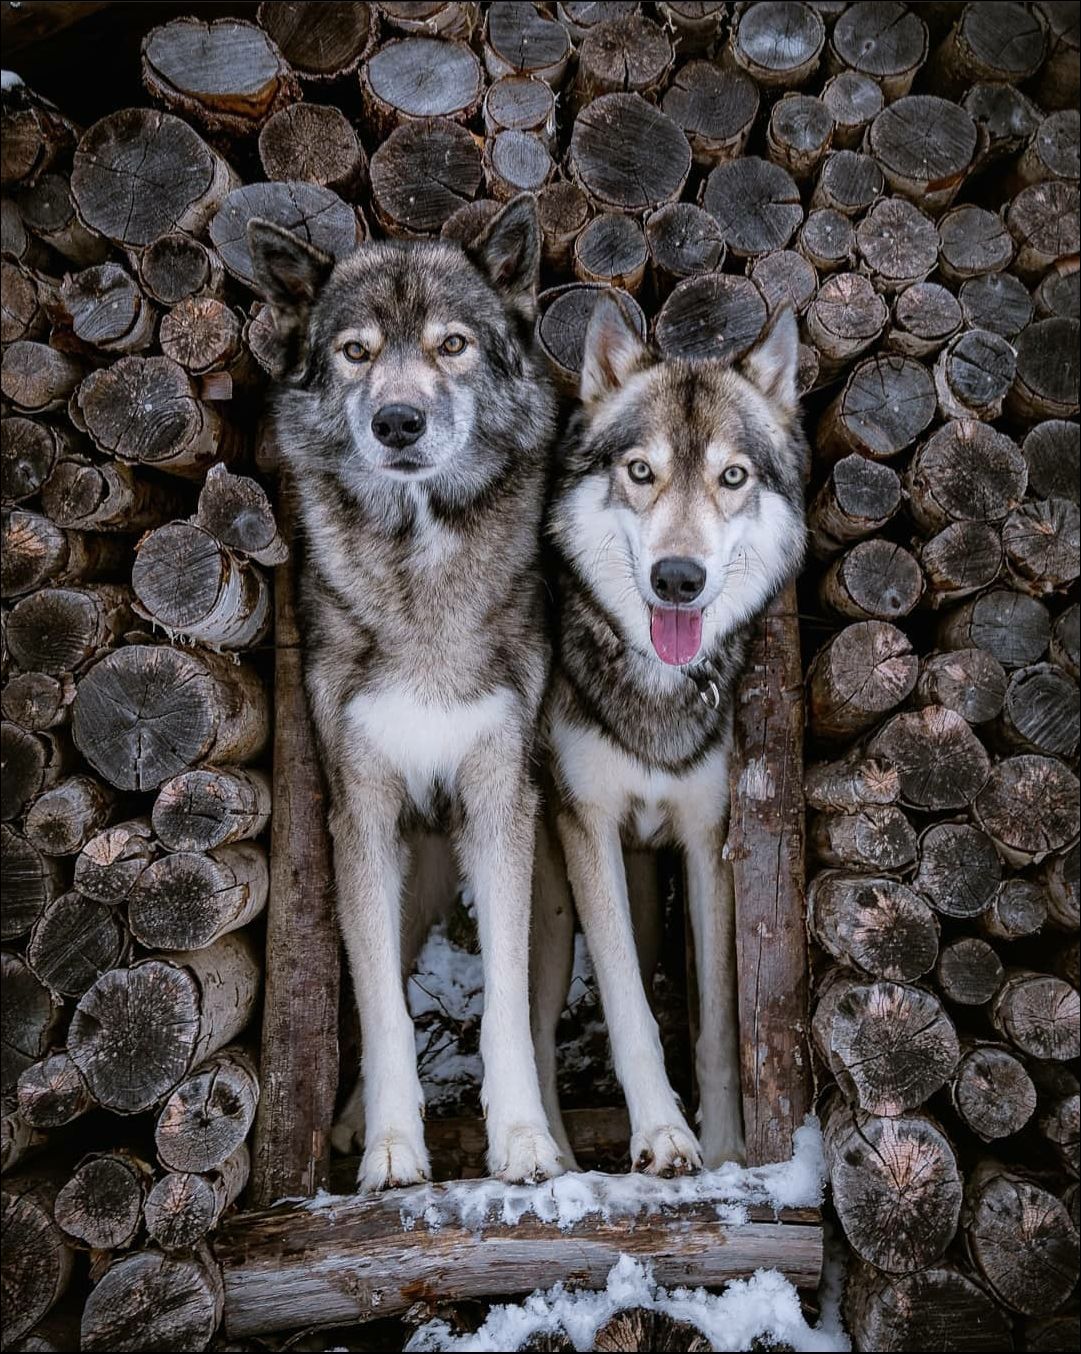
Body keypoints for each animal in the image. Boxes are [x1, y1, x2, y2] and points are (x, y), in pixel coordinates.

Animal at [245, 196, 566, 1191]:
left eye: (451, 345)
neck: (423, 567)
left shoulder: (501, 805)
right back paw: (353, 1122)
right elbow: (382, 1004)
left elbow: (505, 1001)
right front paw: (392, 1149)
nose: (397, 421)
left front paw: (523, 1142)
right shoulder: (362, 813)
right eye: (356, 352)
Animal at [528, 296, 807, 1175]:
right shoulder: (588, 830)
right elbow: (628, 1010)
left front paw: (724, 1151)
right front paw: (660, 1134)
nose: (677, 579)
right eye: (640, 472)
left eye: (732, 477)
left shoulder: (706, 837)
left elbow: (717, 1023)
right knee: (533, 1032)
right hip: (551, 910)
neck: (654, 686)